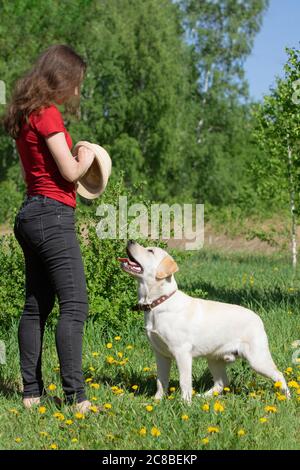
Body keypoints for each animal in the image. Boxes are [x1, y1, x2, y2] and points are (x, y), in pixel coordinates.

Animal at [118, 241, 290, 402]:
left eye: (150, 251)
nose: (130, 241)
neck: (157, 303)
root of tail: (258, 317)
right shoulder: (160, 354)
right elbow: (161, 381)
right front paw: (157, 400)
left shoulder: (182, 352)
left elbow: (184, 381)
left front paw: (185, 403)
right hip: (214, 359)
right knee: (222, 383)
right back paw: (202, 396)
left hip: (257, 358)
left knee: (279, 374)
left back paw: (287, 398)